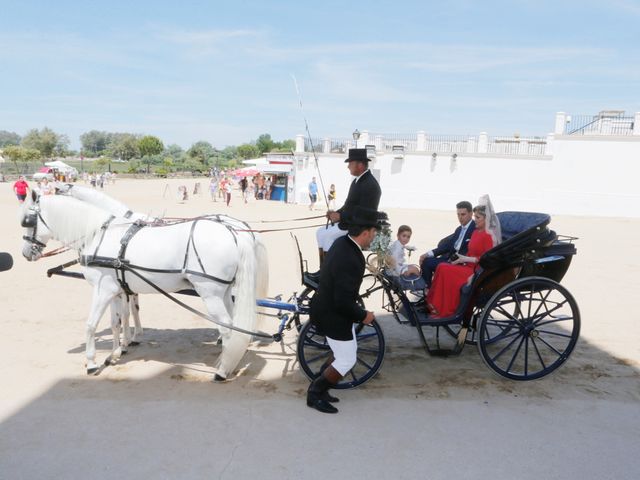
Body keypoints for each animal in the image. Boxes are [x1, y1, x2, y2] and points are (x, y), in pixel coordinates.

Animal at [21, 191, 268, 378]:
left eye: (27, 221)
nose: (25, 254)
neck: (99, 235)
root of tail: (235, 232)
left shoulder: (102, 290)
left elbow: (92, 324)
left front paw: (92, 362)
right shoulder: (116, 290)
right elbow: (116, 322)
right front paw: (115, 353)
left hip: (210, 293)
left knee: (227, 327)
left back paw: (223, 370)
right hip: (224, 291)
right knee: (234, 325)